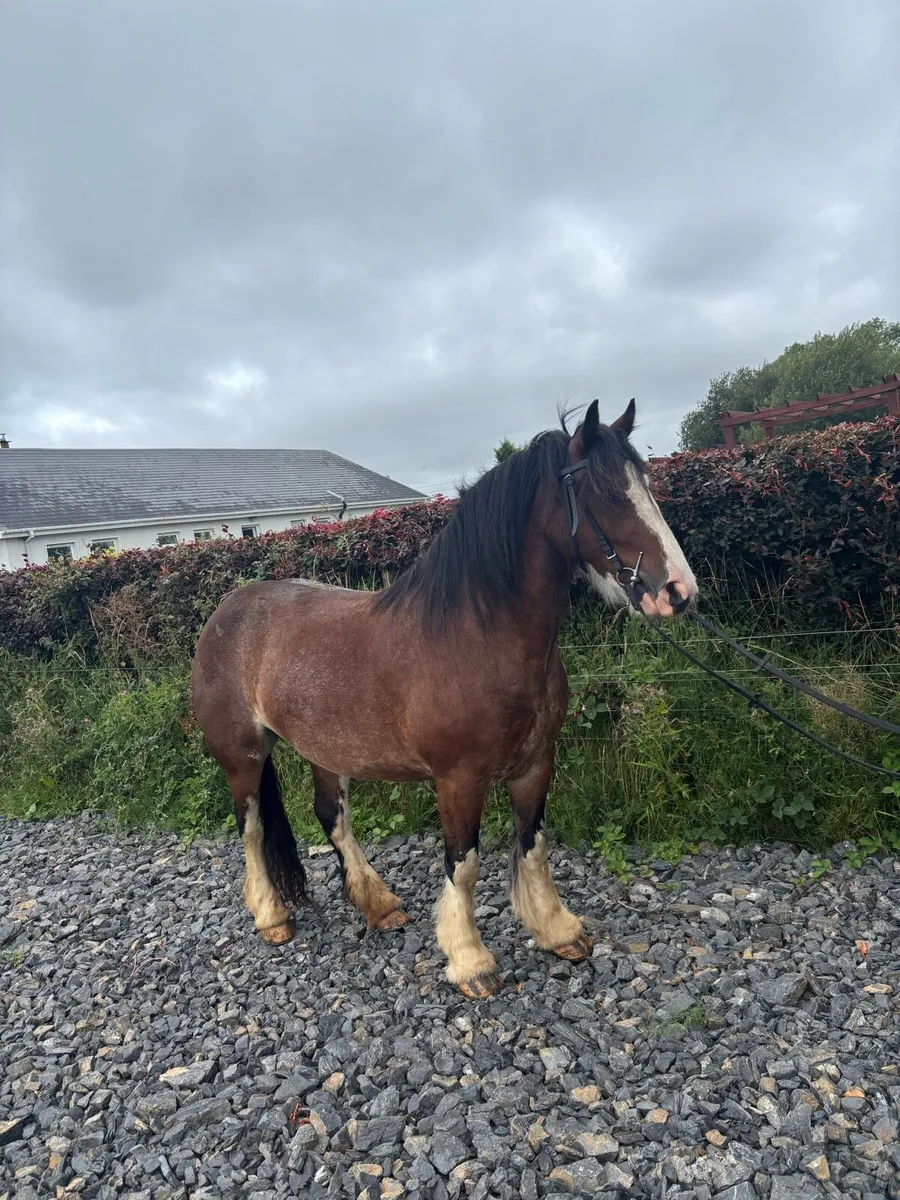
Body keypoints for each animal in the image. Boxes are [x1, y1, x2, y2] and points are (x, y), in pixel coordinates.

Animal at [191, 399, 698, 998]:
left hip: (326, 749)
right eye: (608, 493)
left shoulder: (535, 764)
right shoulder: (459, 779)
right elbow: (464, 863)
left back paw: (379, 905)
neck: (477, 637)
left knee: (331, 817)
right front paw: (470, 960)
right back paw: (271, 916)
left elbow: (533, 845)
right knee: (251, 829)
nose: (678, 592)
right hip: (243, 757)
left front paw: (557, 930)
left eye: (645, 484)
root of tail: (226, 612)